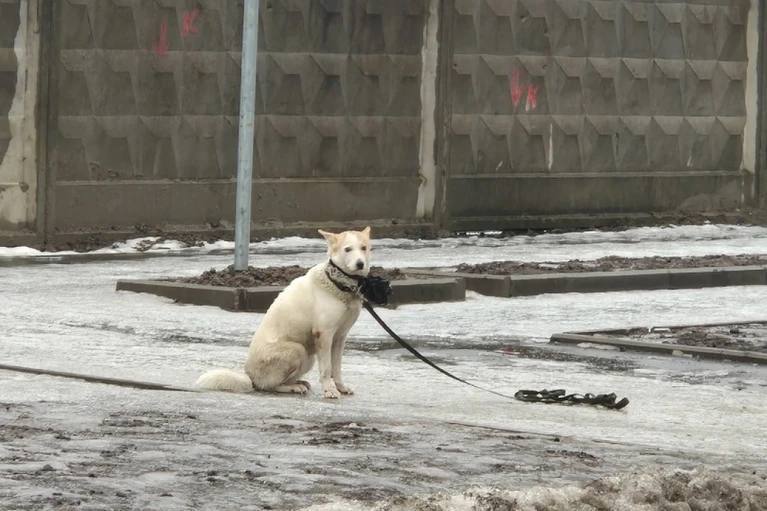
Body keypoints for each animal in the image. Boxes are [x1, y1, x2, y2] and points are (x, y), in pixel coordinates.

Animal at [194, 228, 370, 400]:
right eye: (347, 249)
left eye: (364, 248)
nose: (360, 264)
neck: (339, 284)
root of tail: (250, 377)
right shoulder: (324, 335)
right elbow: (327, 369)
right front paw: (330, 390)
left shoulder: (340, 338)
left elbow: (337, 368)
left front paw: (340, 387)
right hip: (297, 349)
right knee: (270, 386)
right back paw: (292, 387)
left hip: (308, 357)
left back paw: (299, 383)